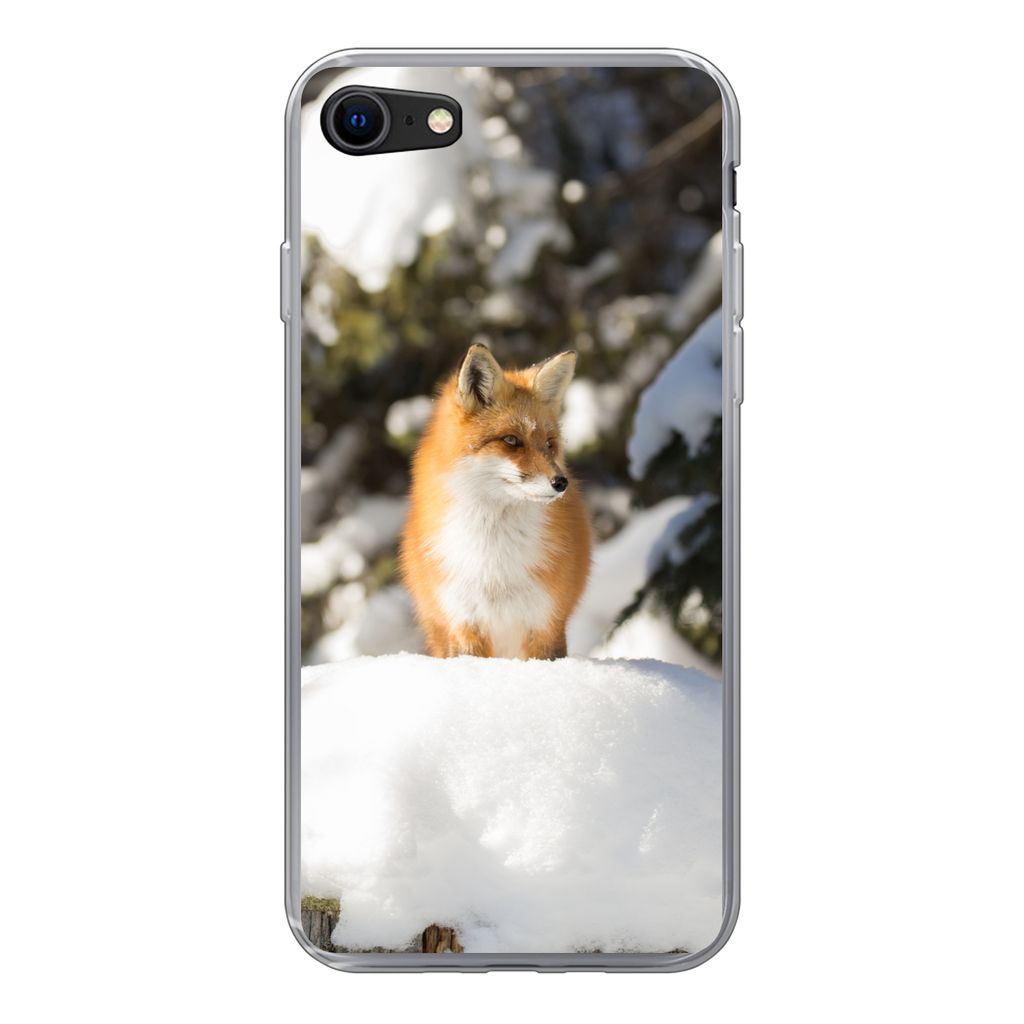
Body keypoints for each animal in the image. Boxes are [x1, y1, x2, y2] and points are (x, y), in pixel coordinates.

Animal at [399, 344, 592, 660]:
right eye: (511, 440)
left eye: (549, 443)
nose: (561, 482)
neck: (494, 563)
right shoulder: (465, 622)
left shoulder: (545, 621)